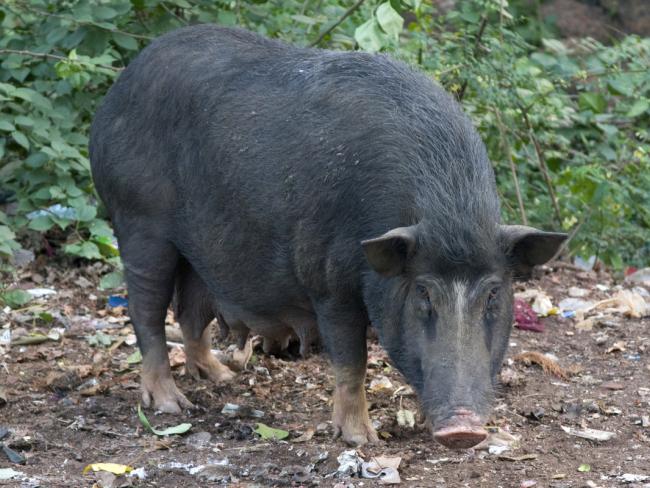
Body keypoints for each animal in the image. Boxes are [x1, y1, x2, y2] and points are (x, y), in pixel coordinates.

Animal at [88, 24, 564, 448]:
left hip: (196, 251)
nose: (464, 430)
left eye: (494, 294)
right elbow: (351, 360)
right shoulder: (329, 282)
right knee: (146, 311)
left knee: (190, 311)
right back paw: (171, 405)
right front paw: (362, 439)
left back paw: (222, 377)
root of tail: (122, 83)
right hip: (138, 222)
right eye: (423, 293)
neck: (450, 214)